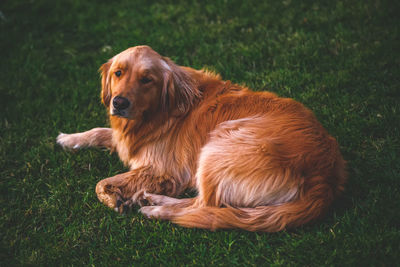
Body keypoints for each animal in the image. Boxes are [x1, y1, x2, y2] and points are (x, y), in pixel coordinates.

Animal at [57, 46, 346, 232]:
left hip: (218, 147)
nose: (119, 102)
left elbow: (100, 183)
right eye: (118, 73)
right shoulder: (125, 139)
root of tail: (326, 174)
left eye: (147, 79)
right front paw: (69, 138)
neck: (159, 112)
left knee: (202, 205)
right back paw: (152, 200)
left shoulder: (164, 170)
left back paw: (156, 209)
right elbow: (100, 131)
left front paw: (114, 198)